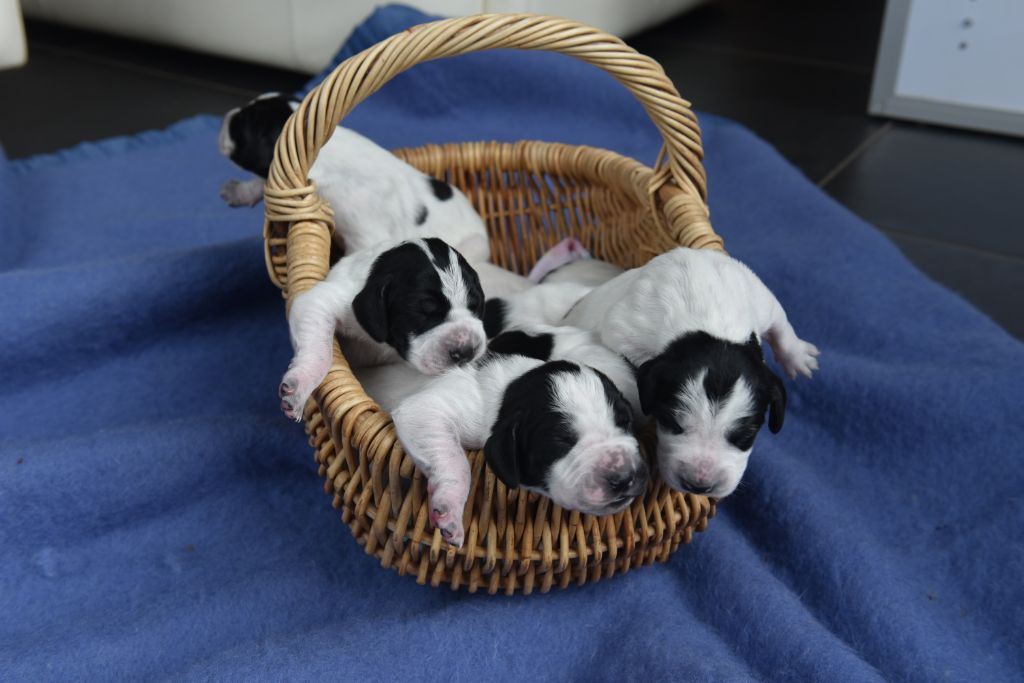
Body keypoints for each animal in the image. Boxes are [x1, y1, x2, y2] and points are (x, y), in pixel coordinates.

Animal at [280, 239, 487, 421]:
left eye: (475, 305)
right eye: (423, 312)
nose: (466, 351)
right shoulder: (322, 301)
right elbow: (320, 353)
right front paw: (300, 387)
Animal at [565, 245, 819, 497]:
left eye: (746, 435)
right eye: (672, 423)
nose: (699, 485)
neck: (711, 322)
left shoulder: (758, 295)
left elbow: (782, 325)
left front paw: (799, 357)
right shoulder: (623, 331)